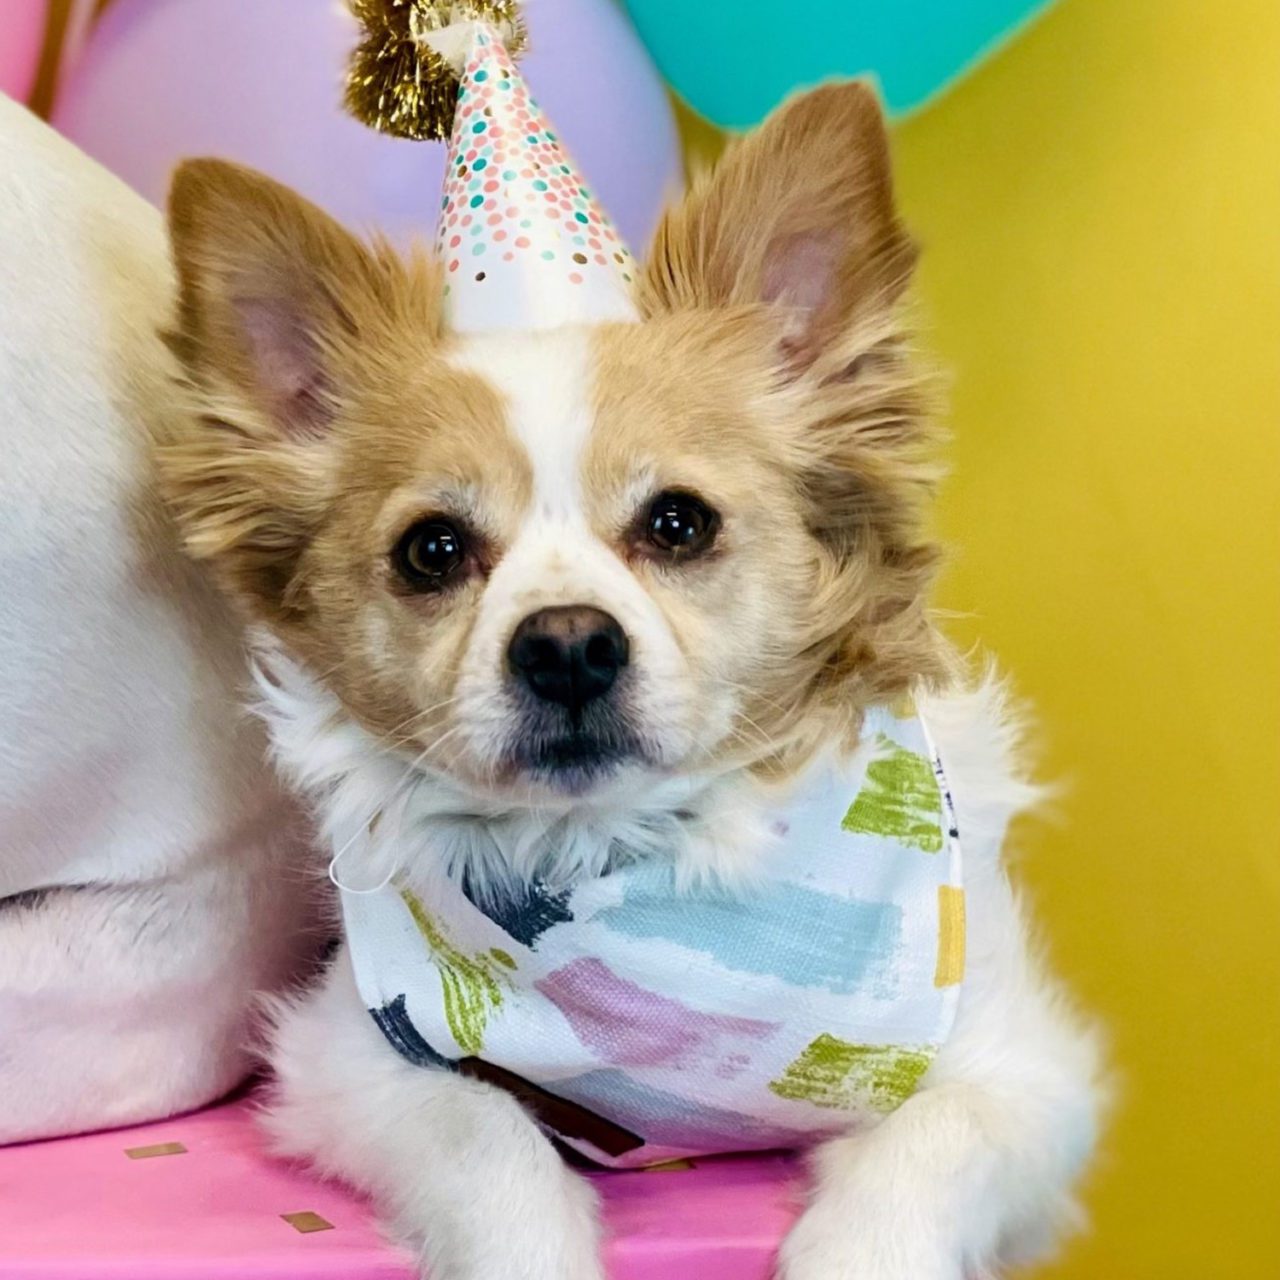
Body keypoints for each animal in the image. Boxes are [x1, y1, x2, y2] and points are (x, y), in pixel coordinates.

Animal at [157, 82, 1100, 1280]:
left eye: (678, 523)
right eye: (431, 550)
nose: (565, 642)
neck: (634, 863)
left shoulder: (1025, 1068)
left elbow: (926, 1146)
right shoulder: (348, 1055)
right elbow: (485, 1133)